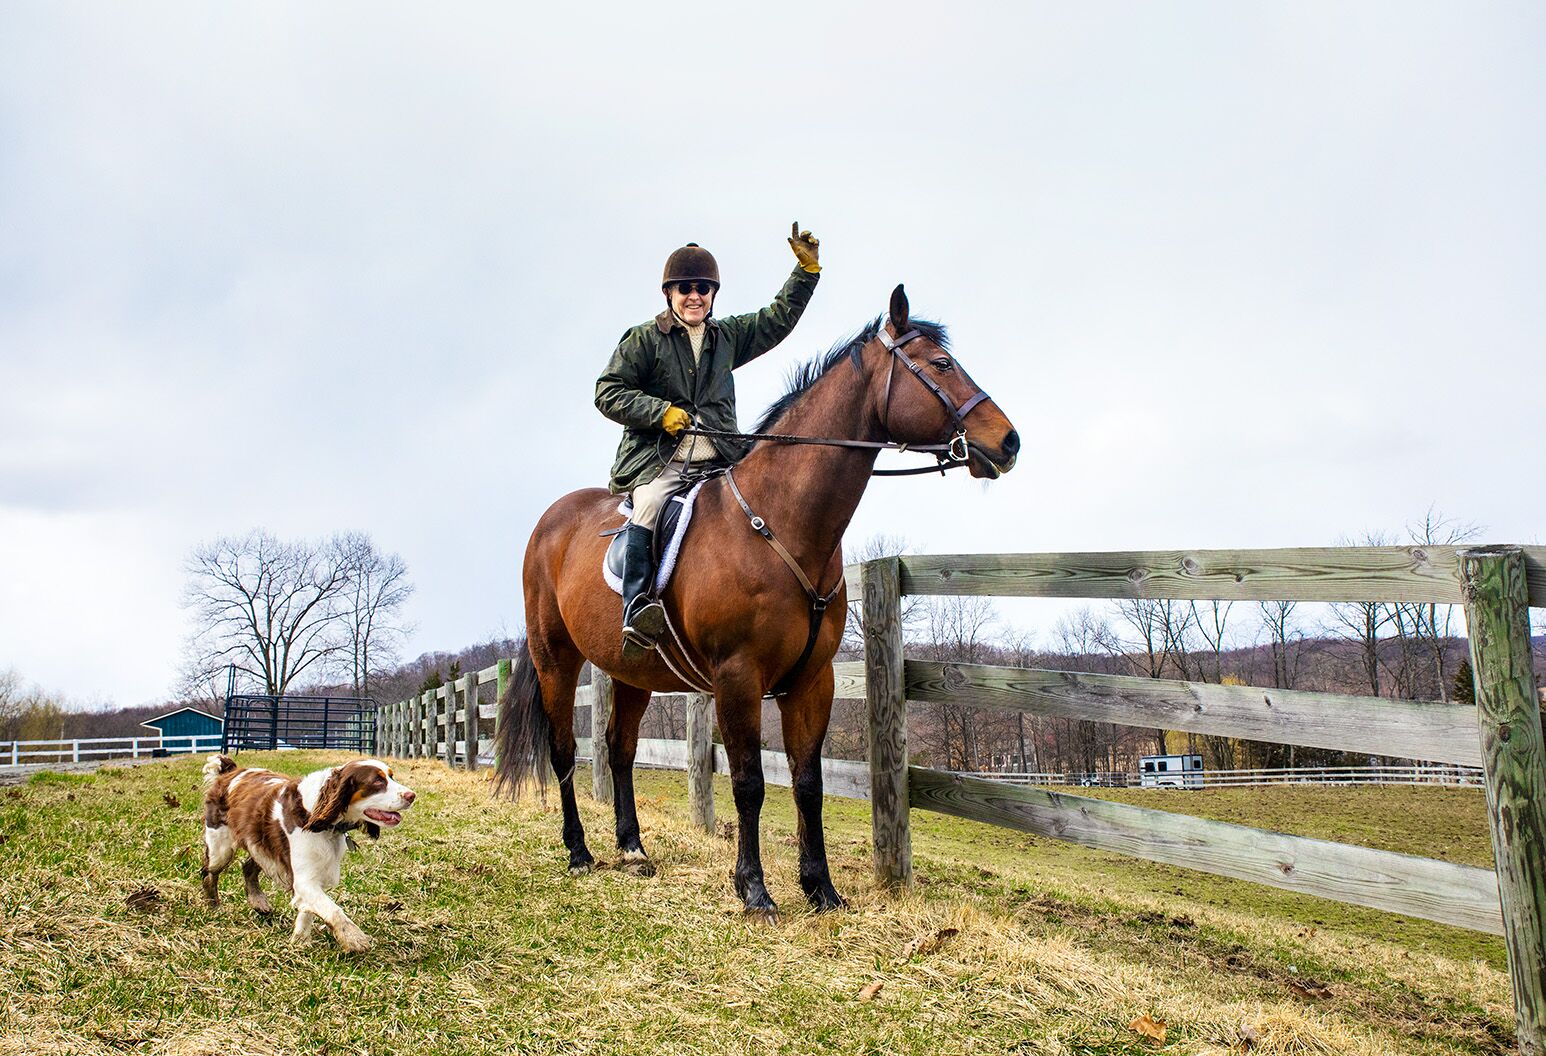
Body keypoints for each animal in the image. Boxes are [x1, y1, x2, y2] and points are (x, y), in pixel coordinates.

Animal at [202, 754, 414, 952]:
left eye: (391, 776)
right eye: (377, 781)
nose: (412, 795)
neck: (319, 816)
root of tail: (230, 771)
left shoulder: (310, 875)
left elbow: (308, 909)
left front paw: (300, 940)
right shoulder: (304, 878)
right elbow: (333, 910)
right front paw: (354, 938)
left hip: (260, 845)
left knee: (247, 866)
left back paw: (258, 901)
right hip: (221, 848)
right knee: (208, 873)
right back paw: (214, 906)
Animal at [494, 284, 1020, 915]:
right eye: (941, 366)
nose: (1009, 441)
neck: (781, 521)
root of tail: (551, 521)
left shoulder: (811, 680)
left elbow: (807, 783)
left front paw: (821, 888)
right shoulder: (738, 677)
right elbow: (748, 782)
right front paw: (754, 889)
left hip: (631, 671)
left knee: (619, 750)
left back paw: (633, 848)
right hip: (556, 659)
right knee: (563, 749)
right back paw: (579, 851)